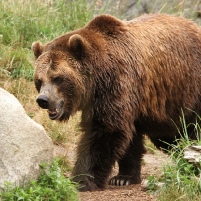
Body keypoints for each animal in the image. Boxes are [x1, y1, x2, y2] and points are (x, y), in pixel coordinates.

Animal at [31, 13, 201, 191]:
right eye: (39, 80)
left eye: (58, 78)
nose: (43, 100)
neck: (96, 79)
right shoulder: (125, 102)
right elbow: (128, 139)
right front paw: (123, 178)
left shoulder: (117, 85)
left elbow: (105, 131)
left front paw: (82, 179)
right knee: (169, 137)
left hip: (188, 89)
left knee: (190, 129)